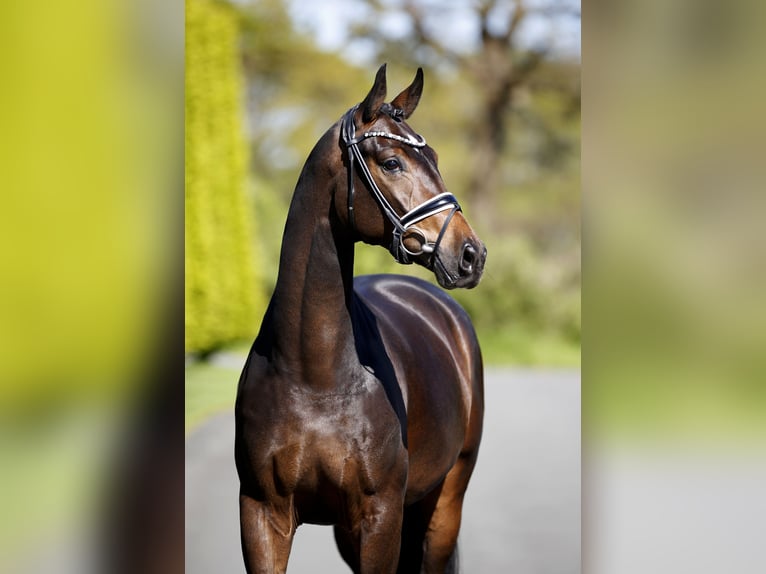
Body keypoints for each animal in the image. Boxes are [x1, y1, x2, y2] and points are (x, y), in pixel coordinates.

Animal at [235, 64, 487, 574]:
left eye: (434, 157)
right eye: (391, 163)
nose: (471, 254)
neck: (314, 376)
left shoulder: (379, 516)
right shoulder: (262, 514)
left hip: (445, 500)